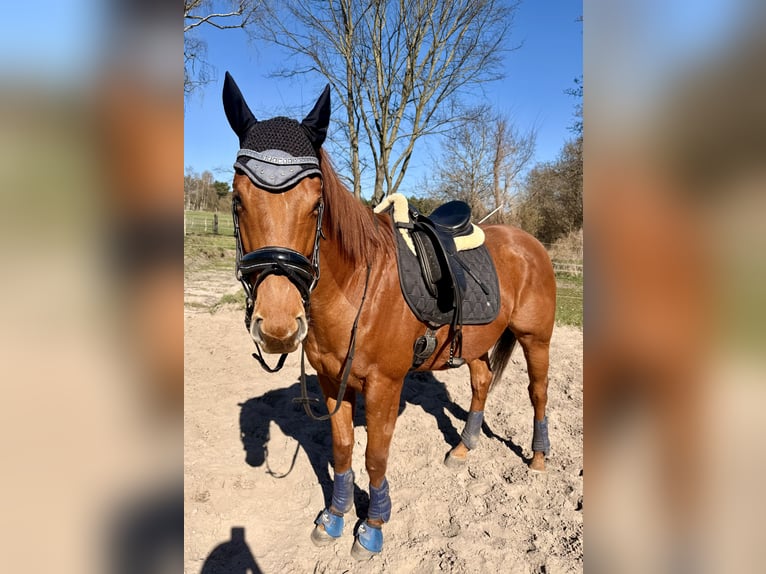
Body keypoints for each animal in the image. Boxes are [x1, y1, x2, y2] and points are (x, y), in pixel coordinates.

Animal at [222, 72, 557, 560]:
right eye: (238, 199)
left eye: (316, 203)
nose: (280, 326)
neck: (358, 288)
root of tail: (530, 243)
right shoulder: (331, 381)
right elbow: (343, 448)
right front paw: (336, 517)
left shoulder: (385, 385)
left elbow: (374, 456)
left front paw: (373, 525)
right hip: (475, 342)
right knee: (480, 383)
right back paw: (463, 448)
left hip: (536, 339)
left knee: (537, 393)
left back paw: (538, 456)